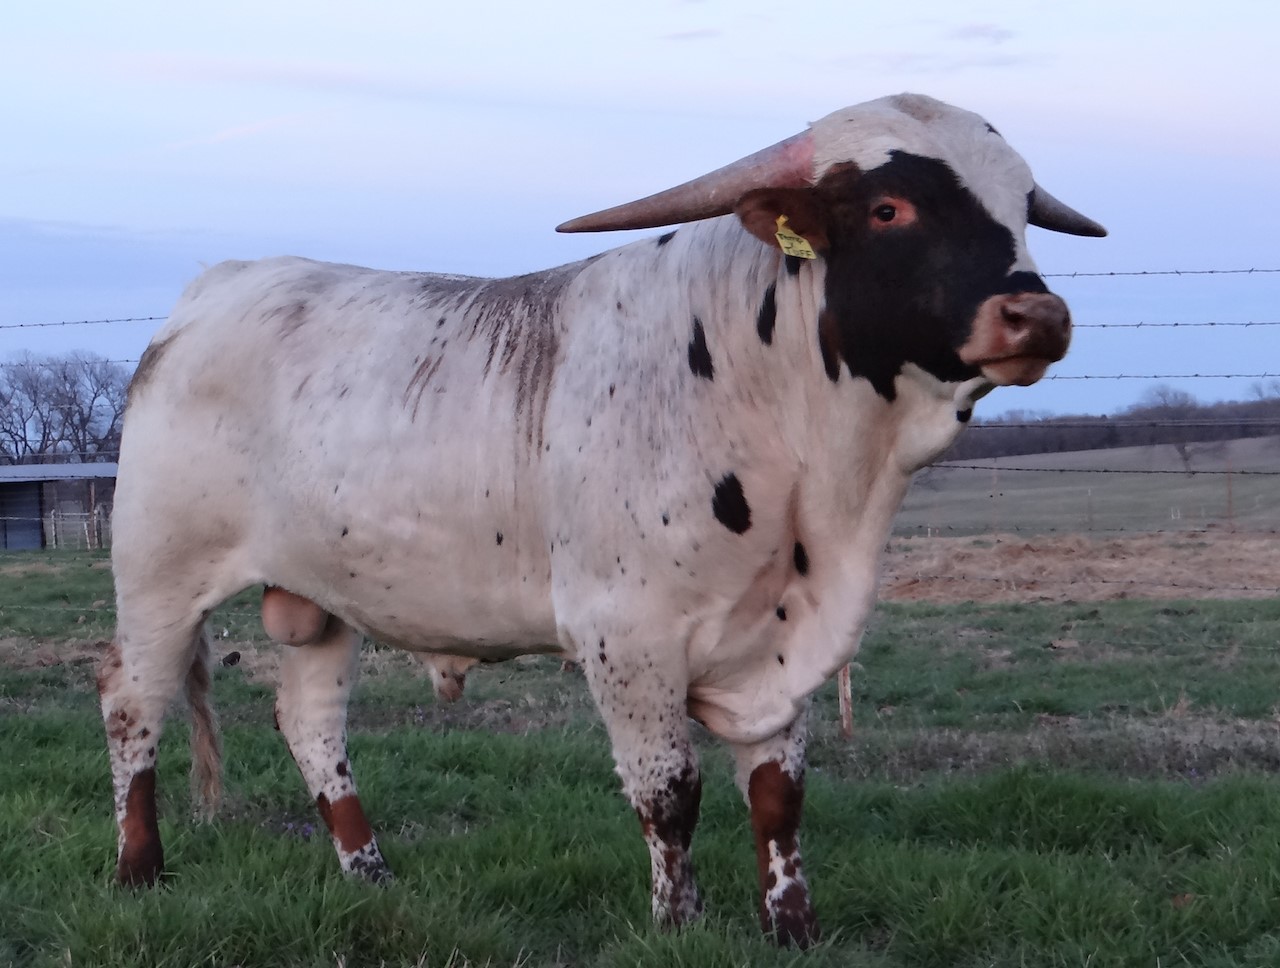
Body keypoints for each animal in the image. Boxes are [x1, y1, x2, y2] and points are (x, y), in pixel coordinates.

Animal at [98, 93, 1105, 946]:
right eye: (891, 208)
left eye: (1019, 208)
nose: (1037, 314)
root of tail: (216, 288)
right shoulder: (628, 637)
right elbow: (670, 793)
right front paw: (679, 924)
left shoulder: (780, 638)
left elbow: (778, 796)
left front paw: (792, 926)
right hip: (159, 578)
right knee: (131, 701)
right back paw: (139, 871)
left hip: (323, 596)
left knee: (310, 722)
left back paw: (370, 873)